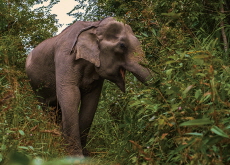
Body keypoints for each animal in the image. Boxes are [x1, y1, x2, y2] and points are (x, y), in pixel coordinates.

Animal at [25, 17, 151, 157]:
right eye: (122, 46)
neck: (95, 25)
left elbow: (91, 100)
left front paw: (86, 154)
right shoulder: (65, 57)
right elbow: (71, 95)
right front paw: (76, 156)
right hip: (35, 85)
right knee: (48, 108)